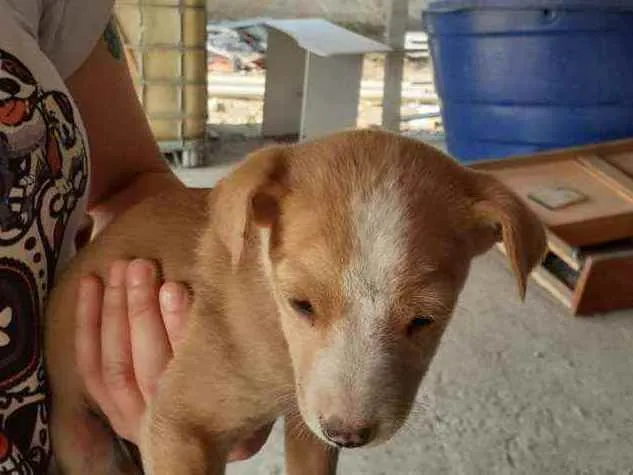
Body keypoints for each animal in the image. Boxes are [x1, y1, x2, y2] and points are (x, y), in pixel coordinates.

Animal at [45, 128, 548, 474]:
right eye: (300, 304)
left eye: (425, 319)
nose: (349, 434)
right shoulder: (177, 426)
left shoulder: (311, 429)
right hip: (83, 441)